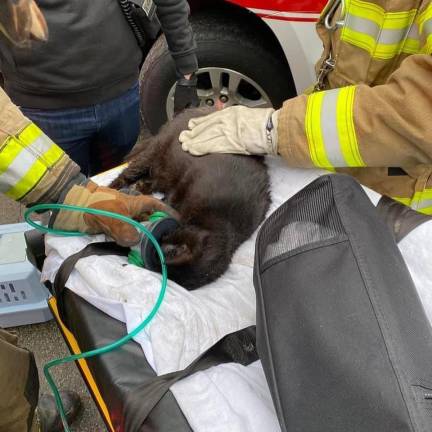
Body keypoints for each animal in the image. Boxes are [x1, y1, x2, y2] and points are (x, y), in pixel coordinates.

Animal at [109, 108, 268, 290]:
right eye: (172, 252)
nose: (159, 244)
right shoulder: (189, 180)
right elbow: (169, 200)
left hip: (161, 170)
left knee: (151, 180)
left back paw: (138, 188)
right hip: (154, 151)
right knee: (126, 174)